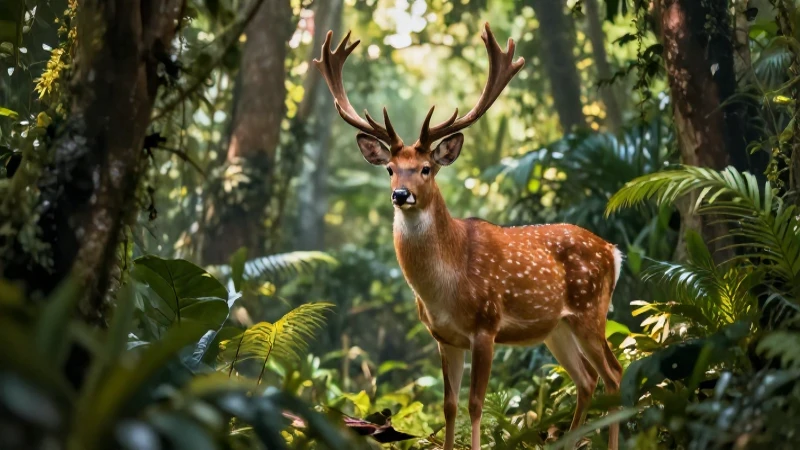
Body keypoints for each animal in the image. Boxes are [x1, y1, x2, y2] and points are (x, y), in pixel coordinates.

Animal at [314, 23, 624, 450]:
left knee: (614, 374)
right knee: (587, 379)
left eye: (426, 168)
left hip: (590, 310)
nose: (401, 194)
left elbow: (476, 404)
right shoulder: (444, 337)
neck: (447, 285)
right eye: (390, 168)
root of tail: (613, 251)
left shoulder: (486, 325)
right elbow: (449, 406)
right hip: (557, 328)